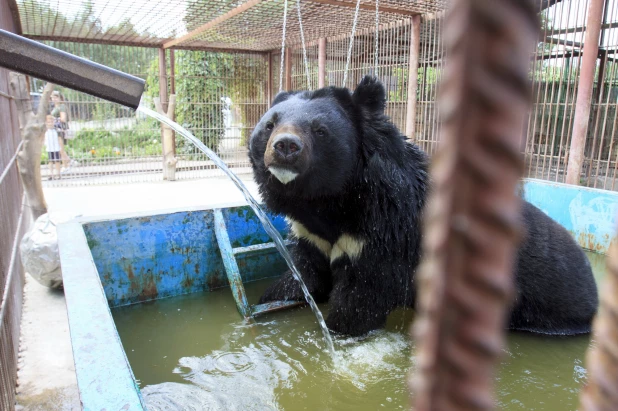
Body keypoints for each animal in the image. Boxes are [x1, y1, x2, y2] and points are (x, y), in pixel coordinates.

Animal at [247, 76, 596, 338]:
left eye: (320, 130)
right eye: (269, 125)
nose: (285, 147)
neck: (330, 201)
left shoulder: (386, 236)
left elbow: (363, 296)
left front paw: (338, 329)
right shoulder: (312, 235)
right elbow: (303, 275)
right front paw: (271, 298)